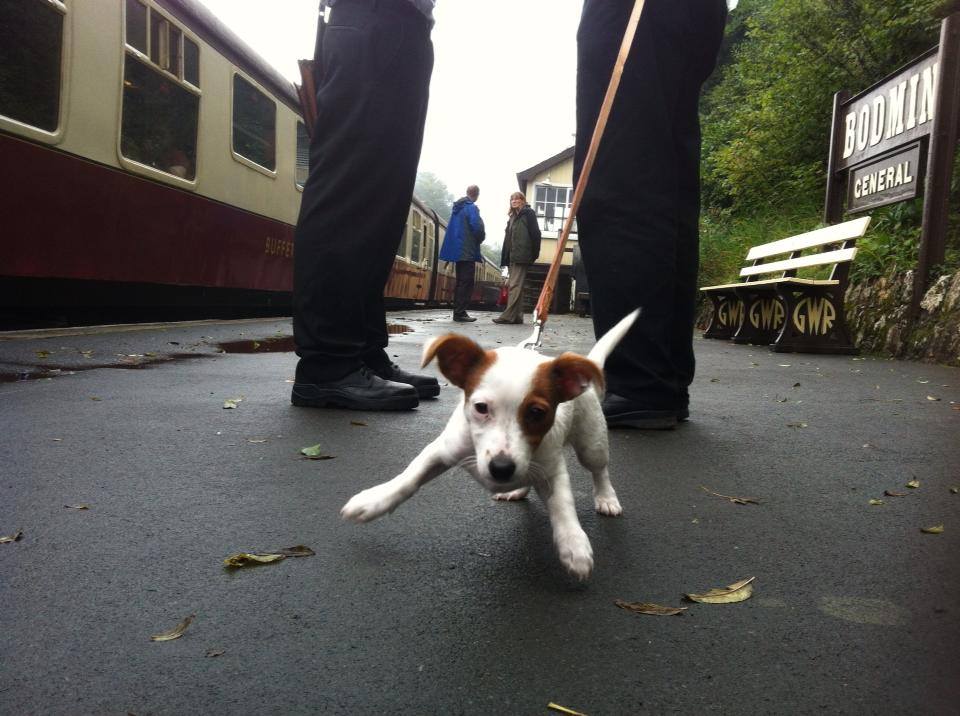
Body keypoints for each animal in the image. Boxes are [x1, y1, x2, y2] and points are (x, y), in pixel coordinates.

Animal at [338, 310, 636, 580]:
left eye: (537, 413)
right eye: (480, 407)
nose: (502, 469)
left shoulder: (551, 469)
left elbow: (563, 504)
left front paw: (574, 543)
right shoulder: (443, 449)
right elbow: (409, 477)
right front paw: (376, 500)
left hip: (591, 443)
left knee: (599, 470)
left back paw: (606, 498)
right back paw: (517, 490)